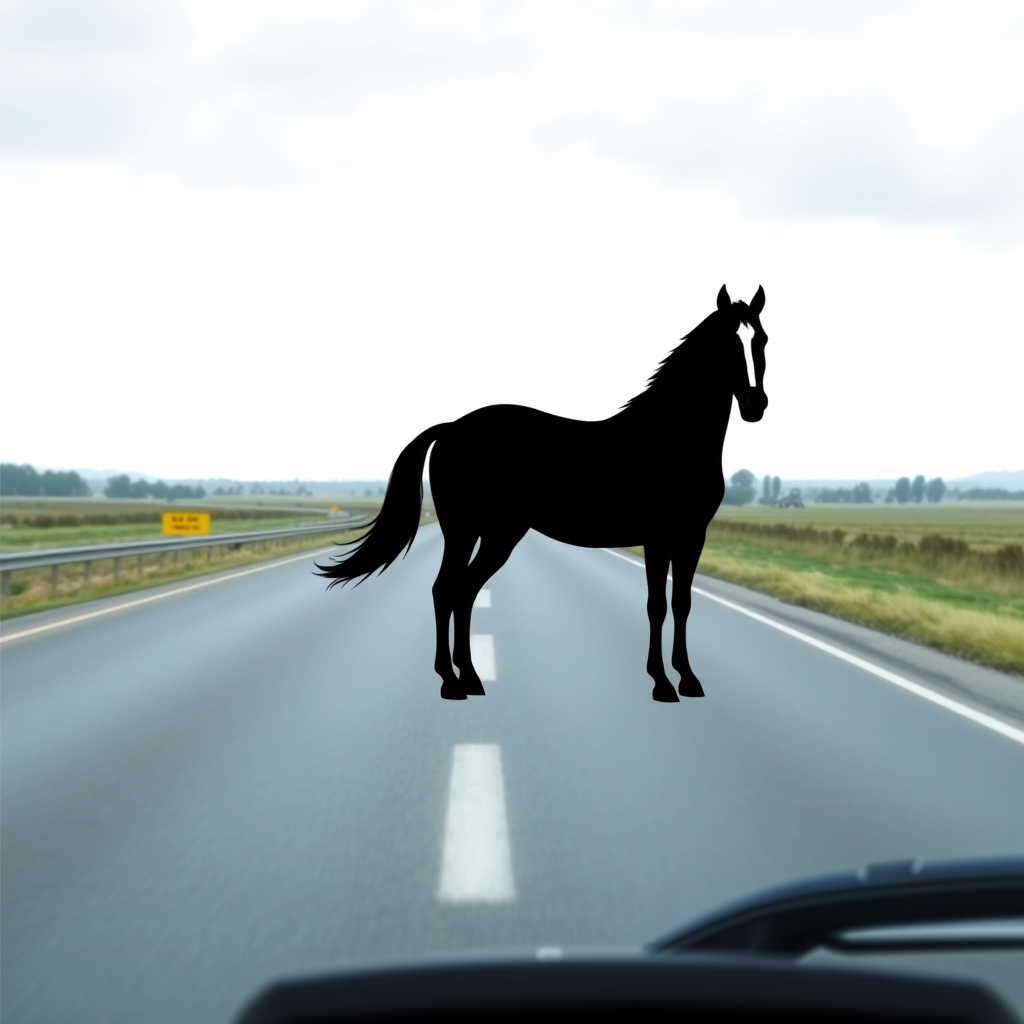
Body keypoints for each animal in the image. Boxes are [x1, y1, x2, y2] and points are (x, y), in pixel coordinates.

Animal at [317, 284, 768, 701]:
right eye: (725, 342)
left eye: (761, 339)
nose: (755, 405)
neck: (671, 439)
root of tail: (452, 429)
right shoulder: (658, 533)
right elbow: (656, 603)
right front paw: (661, 683)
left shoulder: (693, 534)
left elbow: (682, 602)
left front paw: (688, 679)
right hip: (464, 530)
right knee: (445, 590)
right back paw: (451, 682)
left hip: (497, 534)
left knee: (464, 590)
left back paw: (470, 678)